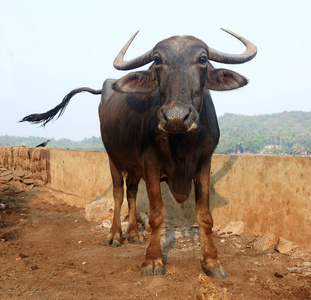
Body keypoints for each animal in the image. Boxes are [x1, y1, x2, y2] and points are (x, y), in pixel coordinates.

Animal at [20, 28, 258, 278]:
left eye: (202, 59)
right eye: (157, 60)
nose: (175, 117)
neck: (181, 143)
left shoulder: (203, 163)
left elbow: (204, 215)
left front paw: (211, 261)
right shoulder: (151, 164)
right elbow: (156, 214)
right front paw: (153, 260)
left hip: (133, 166)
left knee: (132, 192)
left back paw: (134, 233)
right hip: (113, 158)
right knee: (118, 193)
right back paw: (115, 235)